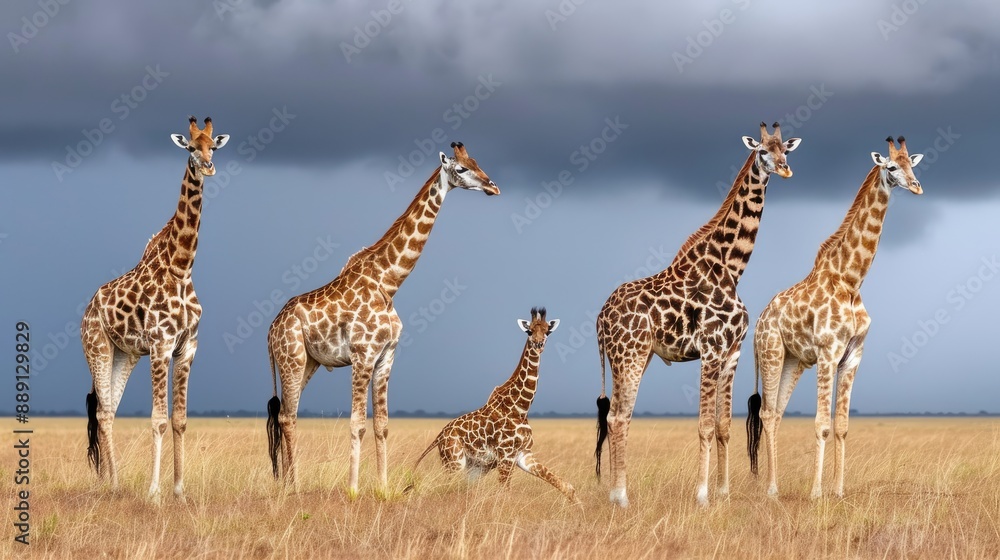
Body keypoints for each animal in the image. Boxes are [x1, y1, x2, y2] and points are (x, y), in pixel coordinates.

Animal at [81, 116, 230, 500]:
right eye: (191, 147)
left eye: (214, 146)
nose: (208, 166)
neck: (181, 267)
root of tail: (87, 309)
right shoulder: (161, 345)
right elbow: (158, 419)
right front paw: (154, 493)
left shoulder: (188, 347)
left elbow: (179, 419)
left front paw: (179, 490)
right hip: (97, 348)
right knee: (103, 413)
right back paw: (114, 485)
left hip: (126, 355)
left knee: (109, 410)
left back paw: (114, 481)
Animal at [266, 142, 499, 495]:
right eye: (461, 169)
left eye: (477, 162)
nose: (492, 187)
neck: (388, 282)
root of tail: (270, 330)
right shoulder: (363, 355)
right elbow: (357, 423)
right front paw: (353, 489)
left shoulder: (387, 356)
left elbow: (382, 425)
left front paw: (384, 487)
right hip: (290, 359)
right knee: (286, 418)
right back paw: (293, 487)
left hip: (309, 362)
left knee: (287, 416)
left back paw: (291, 485)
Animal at [409, 308, 578, 502]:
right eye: (529, 331)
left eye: (547, 331)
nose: (538, 344)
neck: (521, 407)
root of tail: (439, 436)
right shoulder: (506, 455)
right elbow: (505, 493)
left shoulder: (524, 454)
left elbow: (566, 486)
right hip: (455, 461)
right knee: (447, 487)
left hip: (475, 467)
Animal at [593, 123, 801, 507]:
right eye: (762, 151)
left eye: (786, 150)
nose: (784, 169)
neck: (731, 268)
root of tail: (600, 316)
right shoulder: (710, 349)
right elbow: (704, 424)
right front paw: (702, 495)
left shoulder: (732, 353)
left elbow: (723, 425)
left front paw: (723, 492)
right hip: (629, 356)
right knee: (618, 418)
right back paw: (622, 497)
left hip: (630, 357)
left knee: (617, 416)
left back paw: (616, 494)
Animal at [746, 137, 923, 499]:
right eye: (891, 166)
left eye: (913, 166)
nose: (916, 187)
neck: (851, 281)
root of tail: (759, 321)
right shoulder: (828, 352)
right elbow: (821, 424)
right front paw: (817, 493)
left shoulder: (853, 355)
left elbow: (841, 426)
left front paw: (839, 490)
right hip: (772, 353)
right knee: (768, 413)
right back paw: (771, 489)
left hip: (794, 361)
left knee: (778, 413)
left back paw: (776, 485)